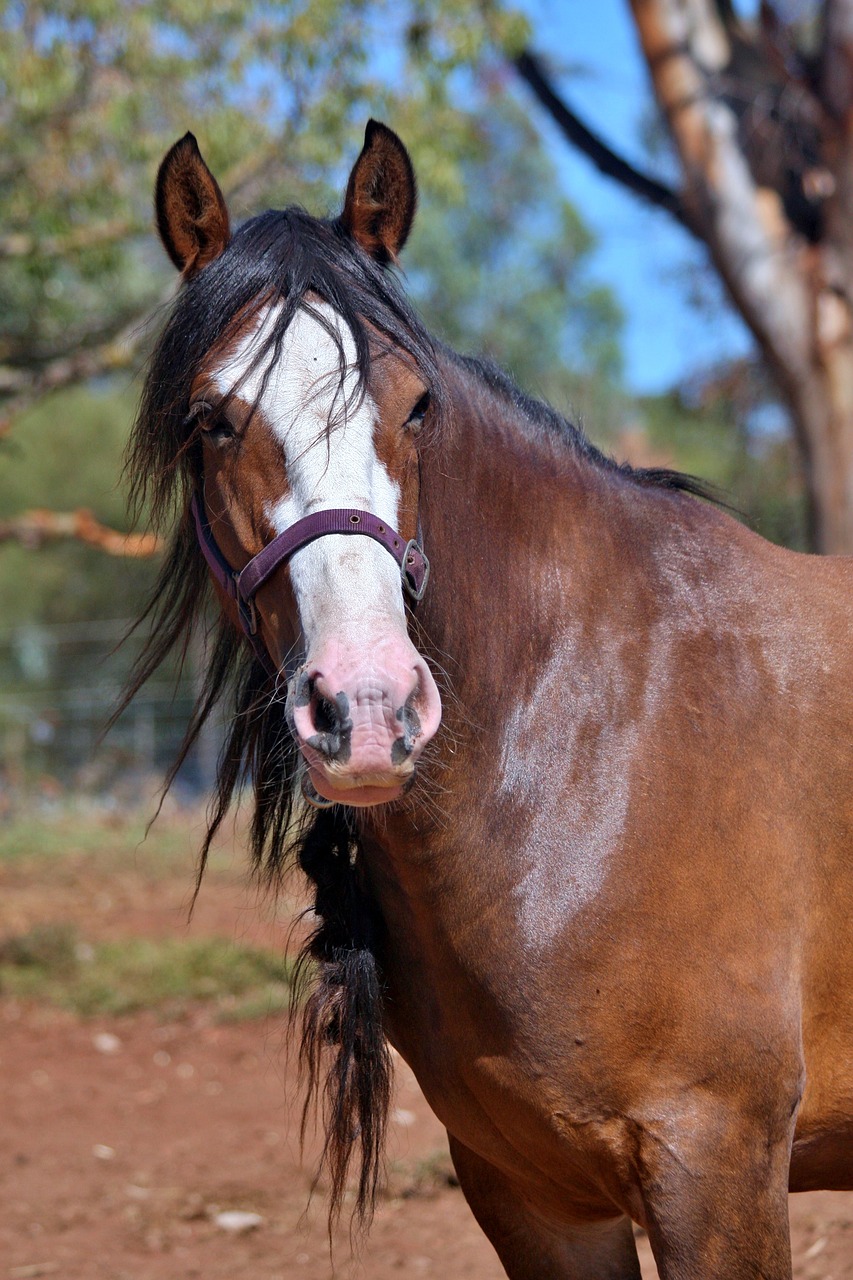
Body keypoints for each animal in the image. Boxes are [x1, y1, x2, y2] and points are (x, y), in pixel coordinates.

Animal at [117, 117, 850, 1269]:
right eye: (210, 419)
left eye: (418, 405)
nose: (368, 708)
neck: (595, 739)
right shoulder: (534, 1193)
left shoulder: (717, 1164)